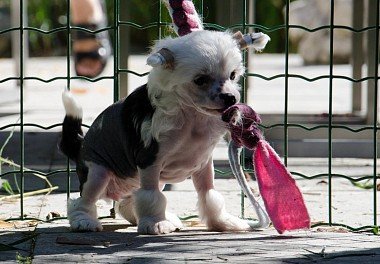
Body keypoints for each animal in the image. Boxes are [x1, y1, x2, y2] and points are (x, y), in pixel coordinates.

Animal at [59, 29, 268, 235]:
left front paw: (222, 222)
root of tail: (80, 145)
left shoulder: (204, 165)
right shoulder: (150, 161)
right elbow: (152, 196)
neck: (192, 116)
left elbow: (208, 193)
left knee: (126, 203)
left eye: (232, 75)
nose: (230, 97)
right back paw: (84, 220)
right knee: (83, 200)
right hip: (97, 173)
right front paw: (155, 223)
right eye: (200, 80)